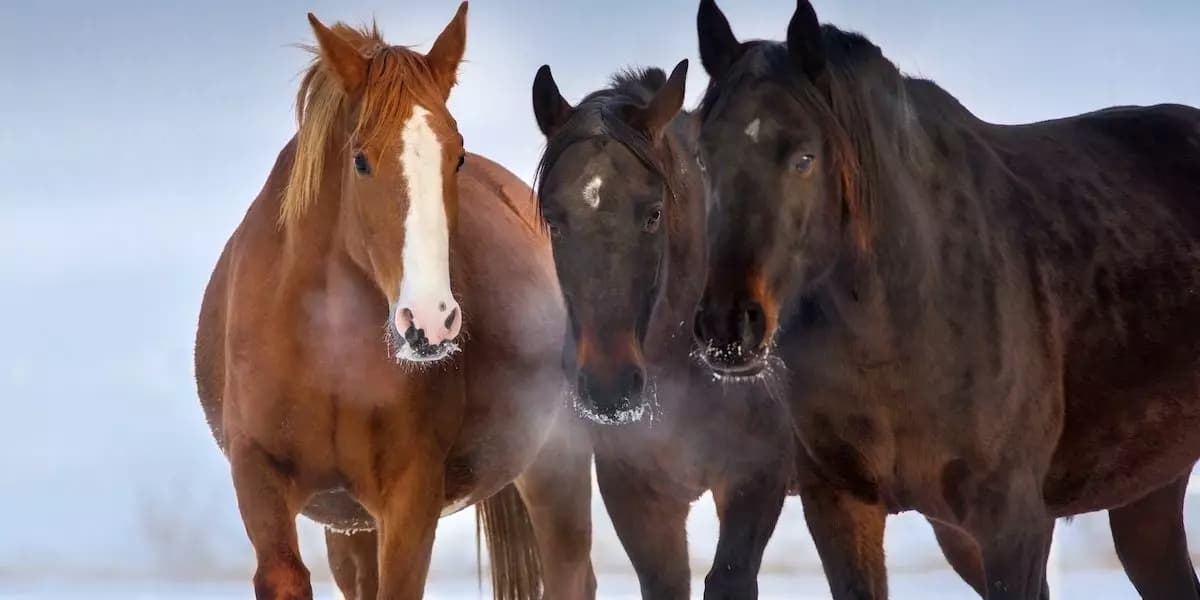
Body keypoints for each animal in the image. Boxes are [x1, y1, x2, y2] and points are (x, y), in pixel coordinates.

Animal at [193, 5, 596, 599]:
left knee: (571, 573)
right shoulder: (260, 477)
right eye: (360, 160)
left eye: (457, 156)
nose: (430, 322)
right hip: (351, 527)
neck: (328, 353)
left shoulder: (410, 495)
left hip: (554, 465)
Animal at [691, 1, 1200, 598]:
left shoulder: (1012, 522)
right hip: (1148, 495)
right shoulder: (843, 506)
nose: (728, 326)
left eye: (804, 157)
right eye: (703, 158)